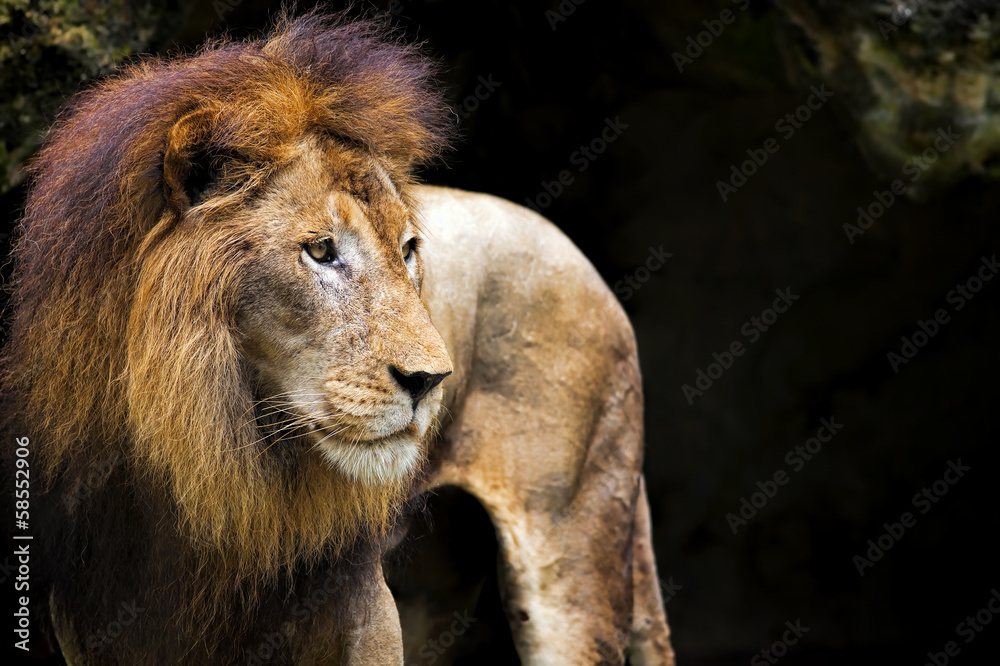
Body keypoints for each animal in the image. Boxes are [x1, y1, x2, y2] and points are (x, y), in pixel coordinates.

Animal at [0, 11, 675, 666]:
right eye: (322, 251)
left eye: (408, 250)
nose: (432, 381)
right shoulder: (91, 620)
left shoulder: (362, 607)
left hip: (572, 542)